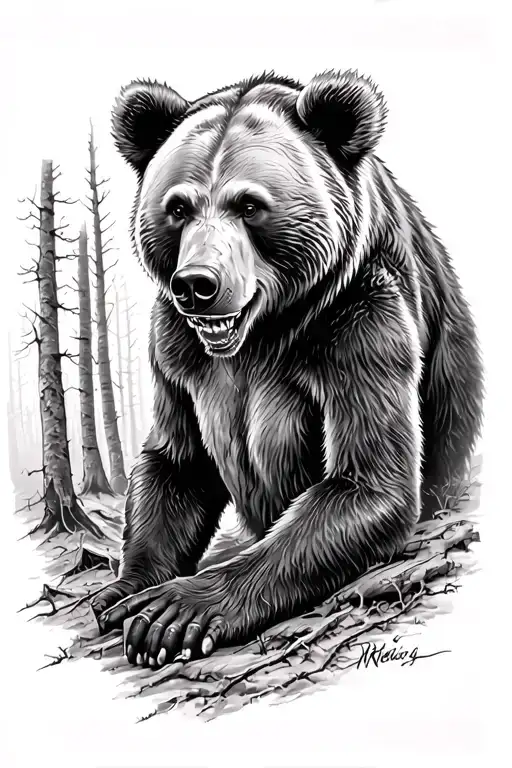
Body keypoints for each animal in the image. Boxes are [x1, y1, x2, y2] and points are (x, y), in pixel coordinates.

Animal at [92, 70, 483, 669]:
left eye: (250, 205)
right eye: (178, 207)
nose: (196, 284)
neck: (262, 335)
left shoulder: (361, 321)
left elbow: (364, 484)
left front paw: (178, 610)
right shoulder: (178, 352)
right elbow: (176, 461)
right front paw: (124, 589)